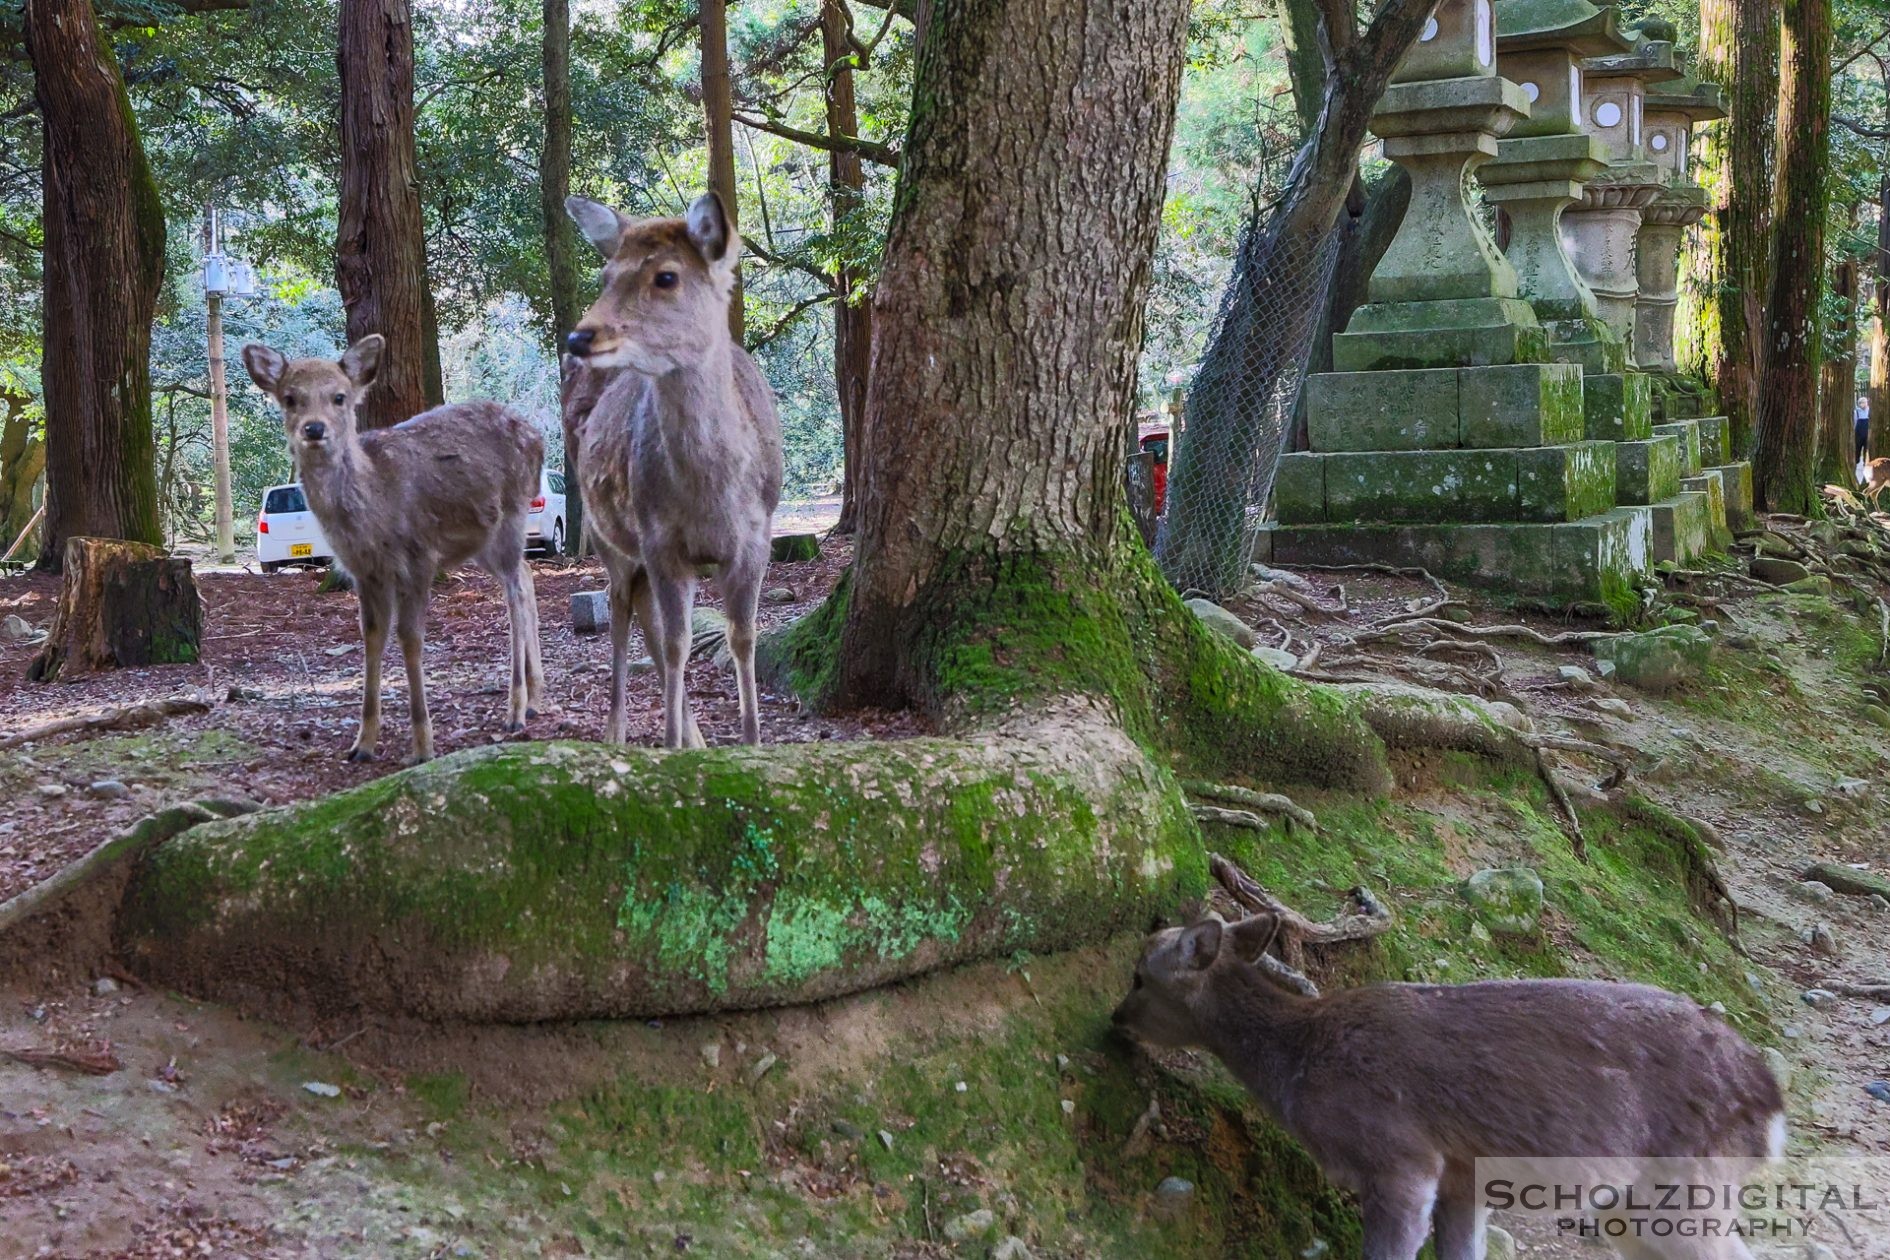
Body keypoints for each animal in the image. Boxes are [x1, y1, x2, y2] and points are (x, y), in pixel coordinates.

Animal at [240, 334, 544, 763]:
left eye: (339, 397)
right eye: (290, 398)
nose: (313, 429)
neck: (374, 509)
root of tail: (539, 439)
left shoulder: (419, 556)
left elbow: (410, 638)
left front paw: (423, 744)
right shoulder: (364, 570)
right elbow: (372, 635)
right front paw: (362, 743)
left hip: (513, 514)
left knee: (515, 593)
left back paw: (515, 710)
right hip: (481, 540)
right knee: (525, 575)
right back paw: (535, 699)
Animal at [555, 187, 778, 748]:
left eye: (667, 277)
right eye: (605, 275)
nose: (579, 338)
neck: (712, 495)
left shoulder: (757, 536)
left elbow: (743, 636)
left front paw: (751, 742)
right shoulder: (659, 538)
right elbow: (679, 643)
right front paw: (670, 745)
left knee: (642, 610)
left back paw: (695, 736)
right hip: (605, 534)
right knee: (619, 609)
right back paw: (617, 731)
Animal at [1111, 857, 1791, 1260]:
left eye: (1140, 975)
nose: (1115, 1018)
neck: (1300, 1067)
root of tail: (1773, 1101)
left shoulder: (1400, 1156)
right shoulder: (1463, 1175)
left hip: (1688, 1186)